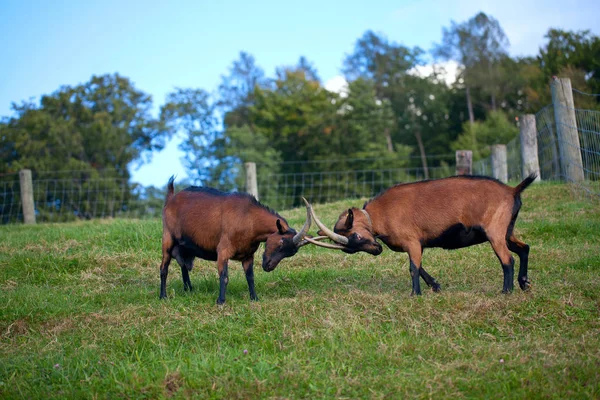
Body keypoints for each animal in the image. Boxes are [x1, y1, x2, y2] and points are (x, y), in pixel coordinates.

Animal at [159, 178, 312, 304]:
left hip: (184, 247)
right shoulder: (223, 251)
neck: (248, 217)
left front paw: (254, 298)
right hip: (167, 238)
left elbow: (250, 277)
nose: (268, 266)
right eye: (281, 242)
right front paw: (221, 301)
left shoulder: (248, 255)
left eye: (291, 253)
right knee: (163, 268)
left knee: (184, 265)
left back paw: (189, 290)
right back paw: (163, 296)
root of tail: (171, 198)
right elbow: (224, 276)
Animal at [308, 174, 536, 294]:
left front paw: (414, 294)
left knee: (507, 259)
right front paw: (435, 286)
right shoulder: (418, 244)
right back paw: (524, 283)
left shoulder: (411, 241)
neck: (381, 213)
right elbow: (420, 266)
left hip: (495, 231)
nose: (377, 249)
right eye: (348, 249)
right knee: (524, 248)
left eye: (354, 236)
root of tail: (512, 191)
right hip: (506, 231)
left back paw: (506, 291)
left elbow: (413, 268)